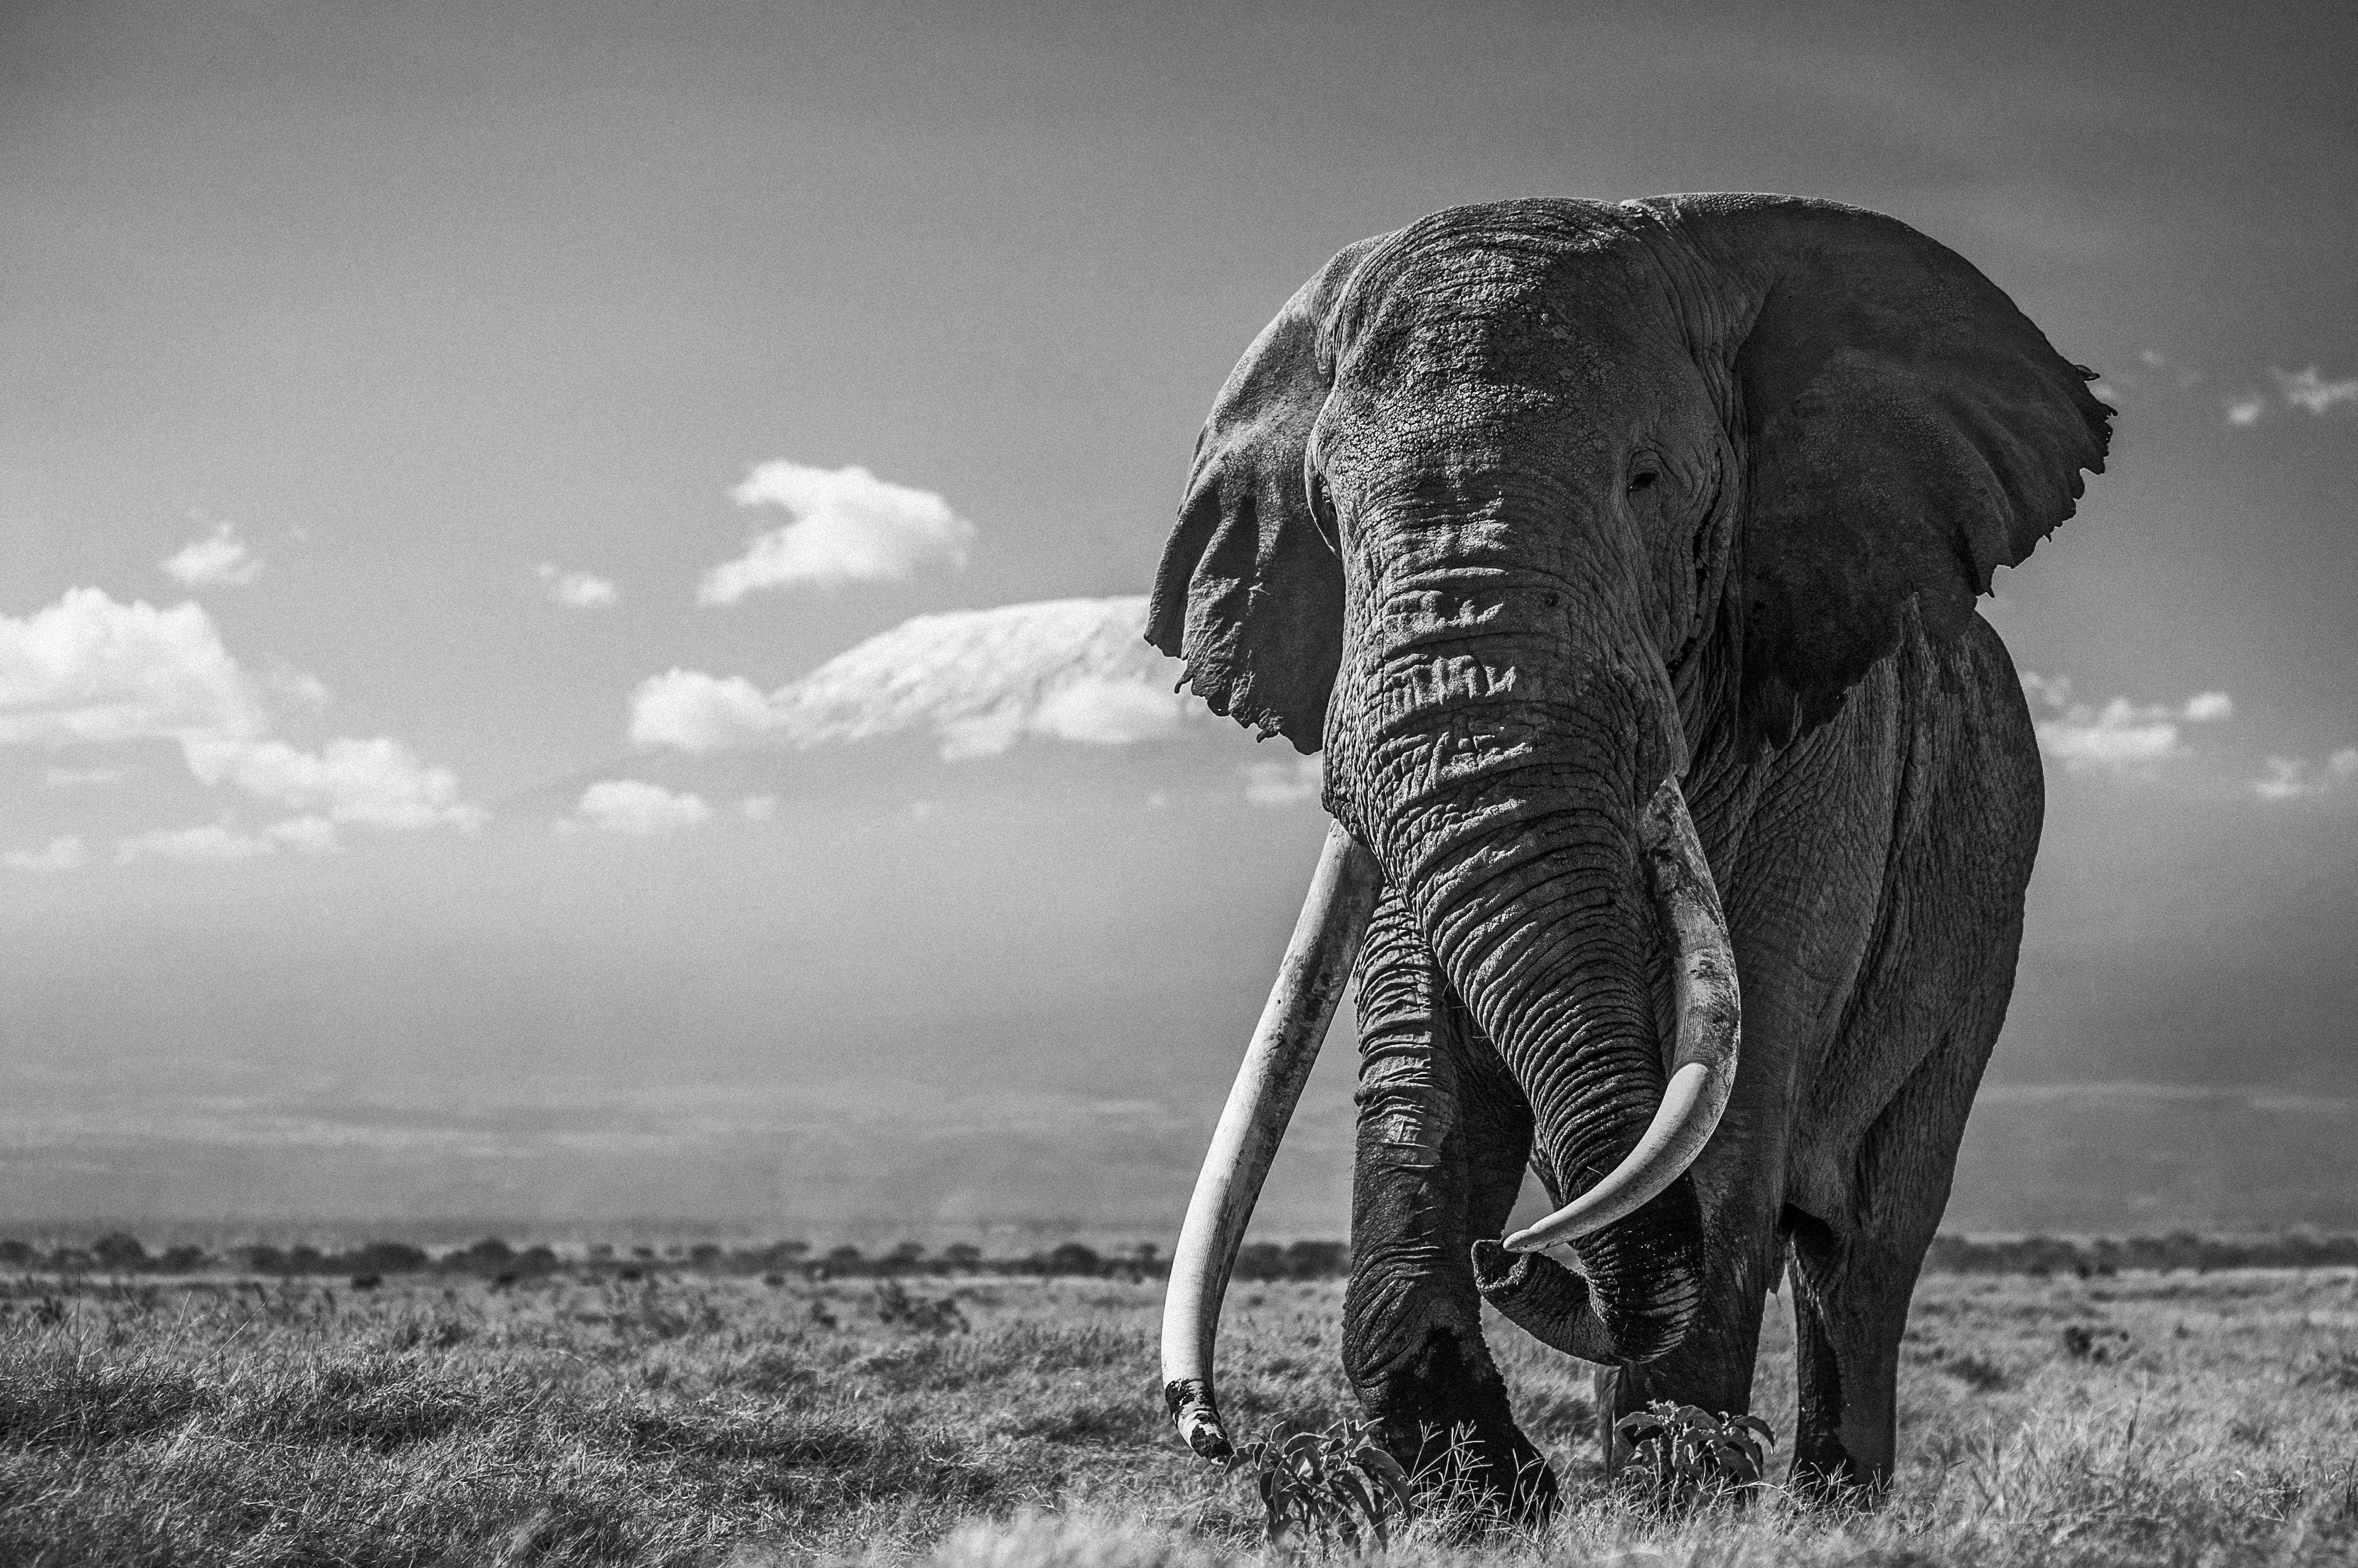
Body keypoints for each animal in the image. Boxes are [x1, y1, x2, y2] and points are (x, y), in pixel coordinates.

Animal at [1147, 195, 2108, 1509]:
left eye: (1647, 481)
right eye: (1329, 518)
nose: (1505, 1252)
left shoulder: (1830, 745)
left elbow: (1743, 1073)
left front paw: (1676, 1488)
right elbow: (1420, 1053)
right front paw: (1463, 1488)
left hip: (1981, 928)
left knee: (1863, 1249)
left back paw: (1826, 1500)